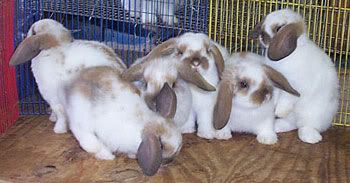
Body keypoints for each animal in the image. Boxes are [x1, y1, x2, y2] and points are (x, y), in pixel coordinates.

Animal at [250, 8, 340, 144]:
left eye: (279, 28)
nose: (261, 36)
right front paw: (273, 107)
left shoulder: (294, 85)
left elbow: (286, 99)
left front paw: (279, 111)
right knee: (291, 124)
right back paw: (277, 126)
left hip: (312, 114)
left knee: (306, 126)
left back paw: (310, 137)